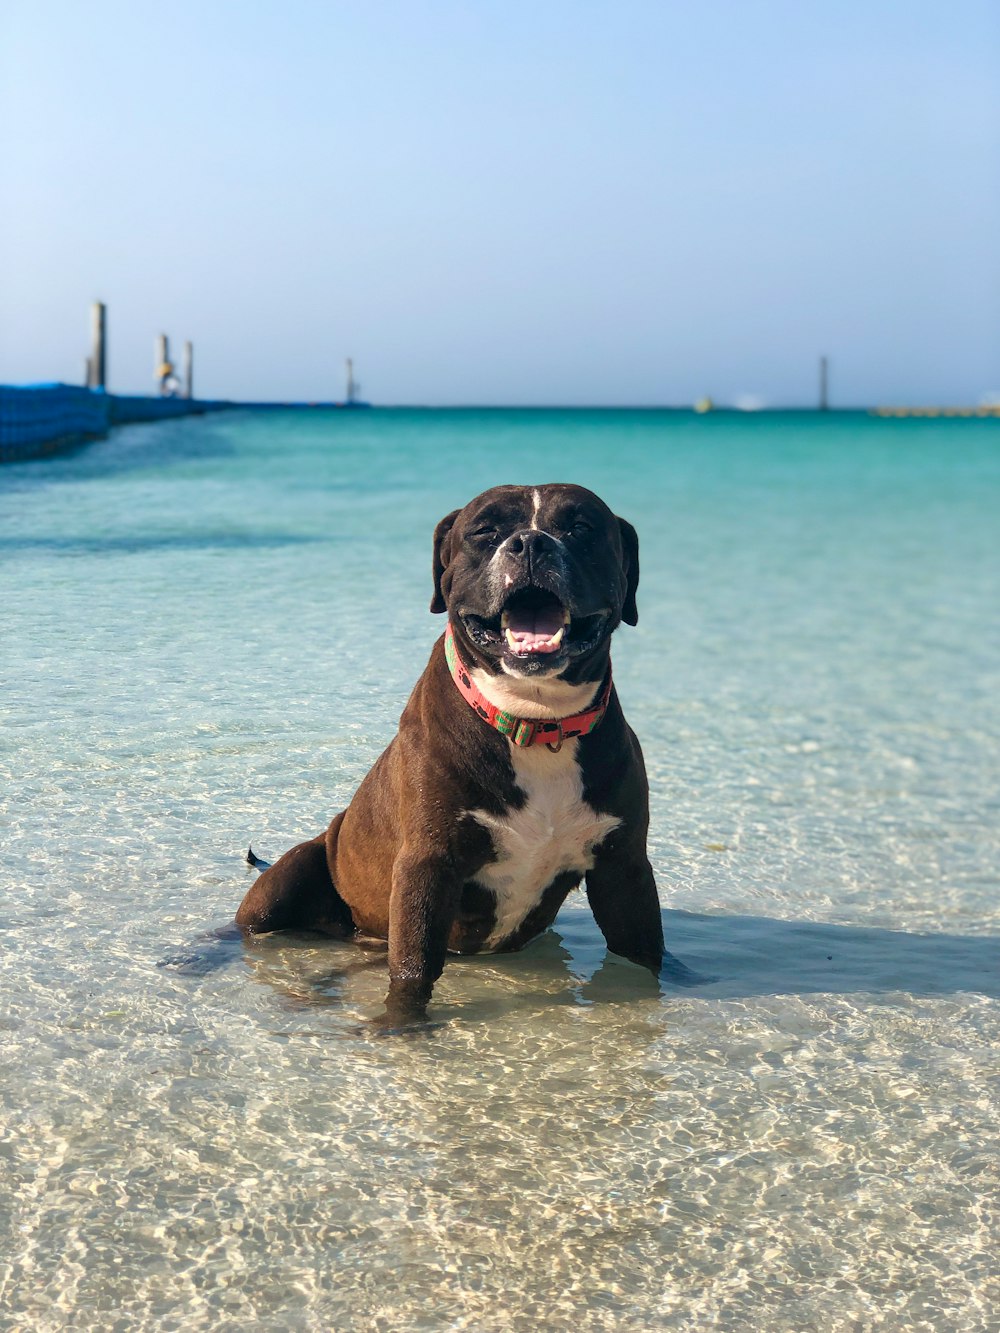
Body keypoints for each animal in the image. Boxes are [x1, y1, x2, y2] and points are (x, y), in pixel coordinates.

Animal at [238, 485, 688, 1023]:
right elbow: (414, 967)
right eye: (484, 530)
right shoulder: (428, 865)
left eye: (581, 528)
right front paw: (404, 1025)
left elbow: (643, 956)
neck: (536, 720)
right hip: (286, 879)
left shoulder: (624, 868)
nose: (530, 544)